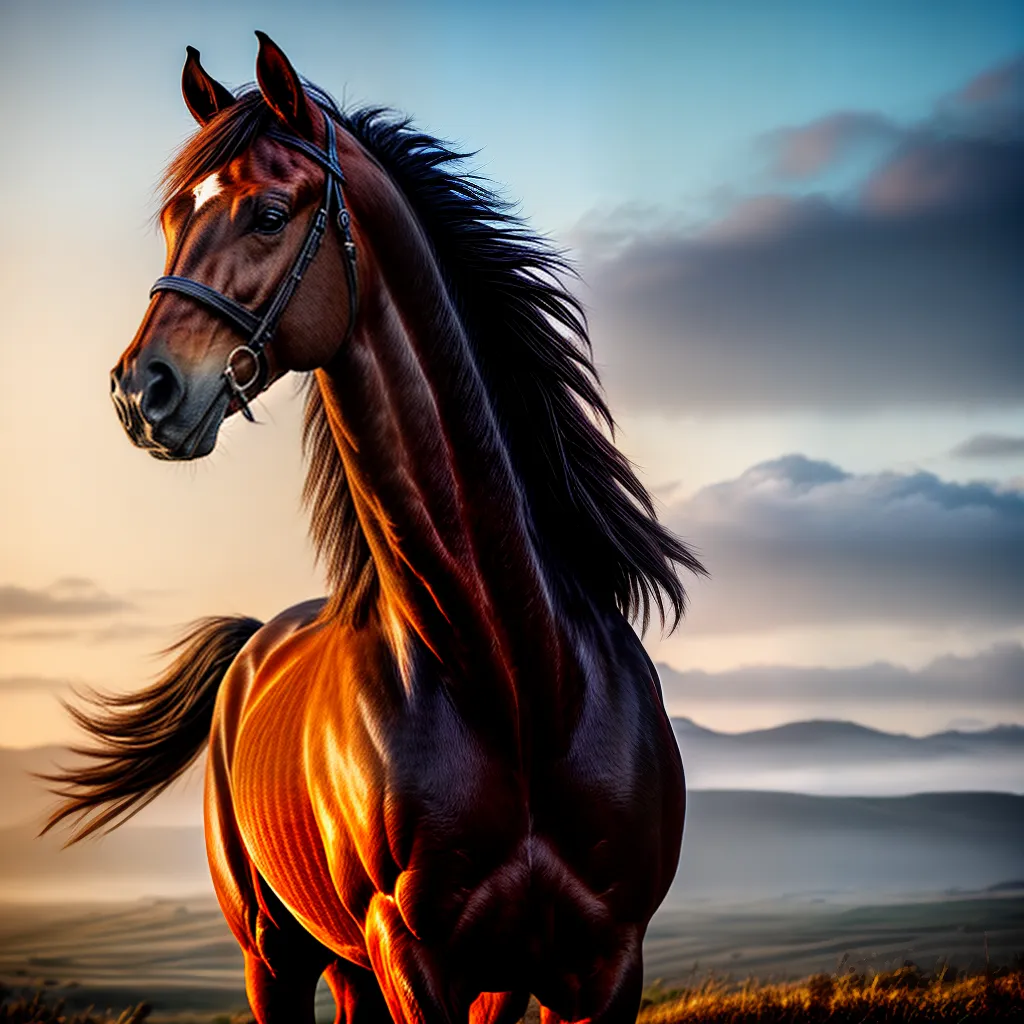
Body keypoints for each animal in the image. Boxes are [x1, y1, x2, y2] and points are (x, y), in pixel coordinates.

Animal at [44, 33, 705, 1024]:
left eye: (268, 214)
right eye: (170, 221)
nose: (141, 392)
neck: (517, 678)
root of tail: (257, 642)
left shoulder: (599, 968)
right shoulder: (414, 957)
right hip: (276, 957)